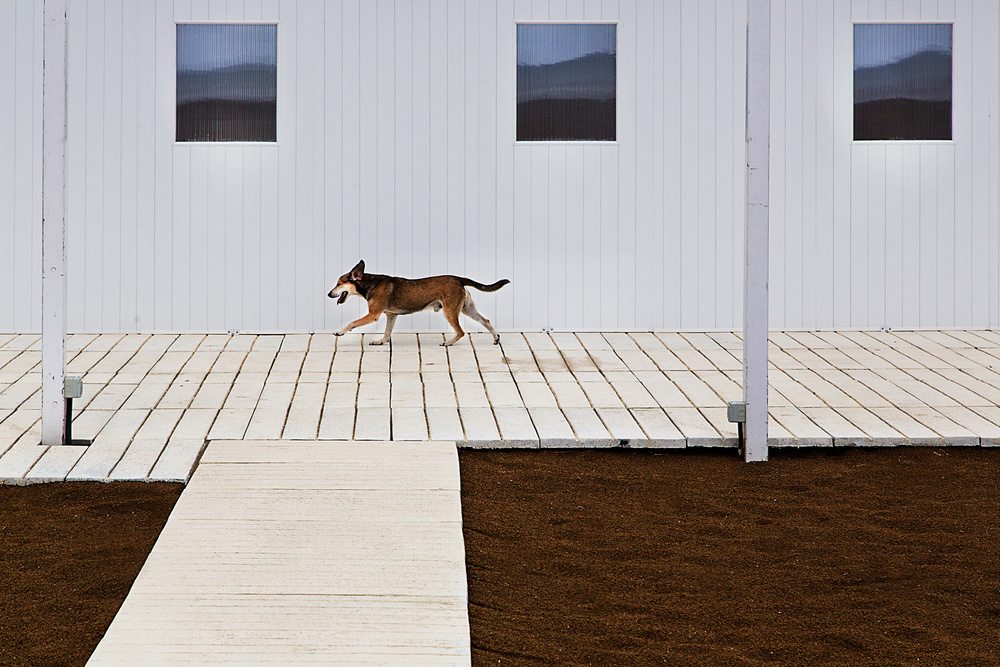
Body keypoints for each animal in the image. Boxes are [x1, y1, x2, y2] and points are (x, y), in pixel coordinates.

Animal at [328, 258, 508, 348]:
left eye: (338, 284)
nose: (329, 294)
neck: (370, 283)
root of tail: (458, 279)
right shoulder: (391, 315)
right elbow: (387, 332)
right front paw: (381, 341)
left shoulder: (373, 315)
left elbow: (352, 323)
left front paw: (340, 332)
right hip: (467, 308)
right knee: (486, 321)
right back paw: (495, 339)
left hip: (450, 311)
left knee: (461, 332)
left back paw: (448, 343)